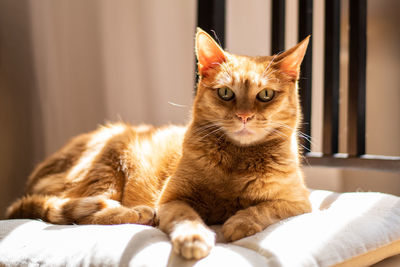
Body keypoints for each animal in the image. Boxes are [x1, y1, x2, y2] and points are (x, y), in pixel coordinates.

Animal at [5, 28, 312, 260]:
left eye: (266, 95)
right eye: (226, 93)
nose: (244, 116)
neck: (237, 160)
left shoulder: (298, 203)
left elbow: (265, 208)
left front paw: (239, 221)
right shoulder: (172, 199)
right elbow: (186, 217)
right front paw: (194, 239)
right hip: (107, 164)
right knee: (82, 211)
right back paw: (137, 212)